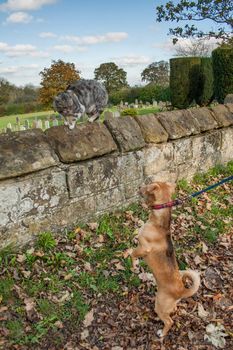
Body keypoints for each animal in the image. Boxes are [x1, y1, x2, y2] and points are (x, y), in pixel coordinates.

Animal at [131, 182, 200, 338]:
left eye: (147, 186)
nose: (138, 187)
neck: (159, 222)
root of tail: (181, 291)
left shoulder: (143, 248)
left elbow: (132, 252)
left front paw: (131, 262)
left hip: (160, 304)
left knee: (169, 321)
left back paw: (162, 333)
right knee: (171, 313)